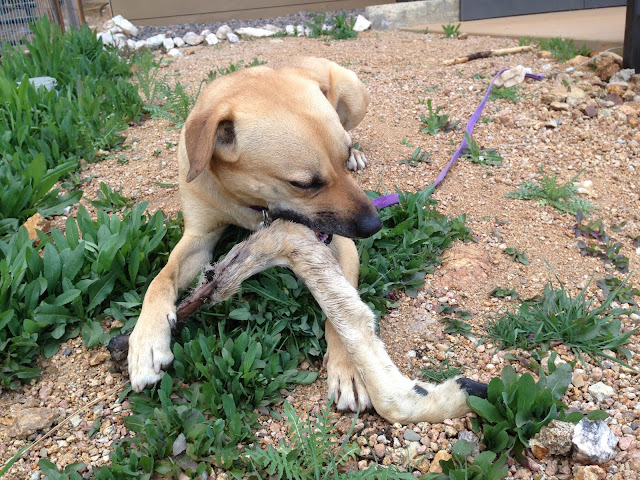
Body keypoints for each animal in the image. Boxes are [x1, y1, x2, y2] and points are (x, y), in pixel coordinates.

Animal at [127, 57, 486, 420]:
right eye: (303, 184)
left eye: (341, 158)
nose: (374, 225)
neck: (250, 204)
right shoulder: (199, 236)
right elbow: (161, 278)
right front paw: (145, 341)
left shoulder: (339, 243)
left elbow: (340, 314)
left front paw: (350, 370)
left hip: (354, 93)